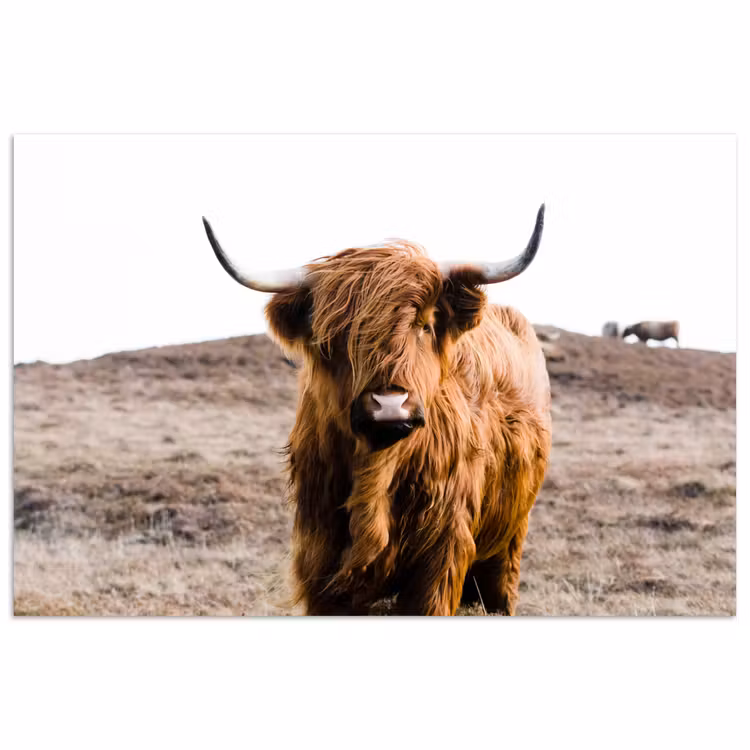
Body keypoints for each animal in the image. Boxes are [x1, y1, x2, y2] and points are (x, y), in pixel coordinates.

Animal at [202, 205, 551, 616]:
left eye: (425, 325)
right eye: (333, 337)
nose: (389, 405)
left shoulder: (441, 558)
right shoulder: (320, 558)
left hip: (510, 539)